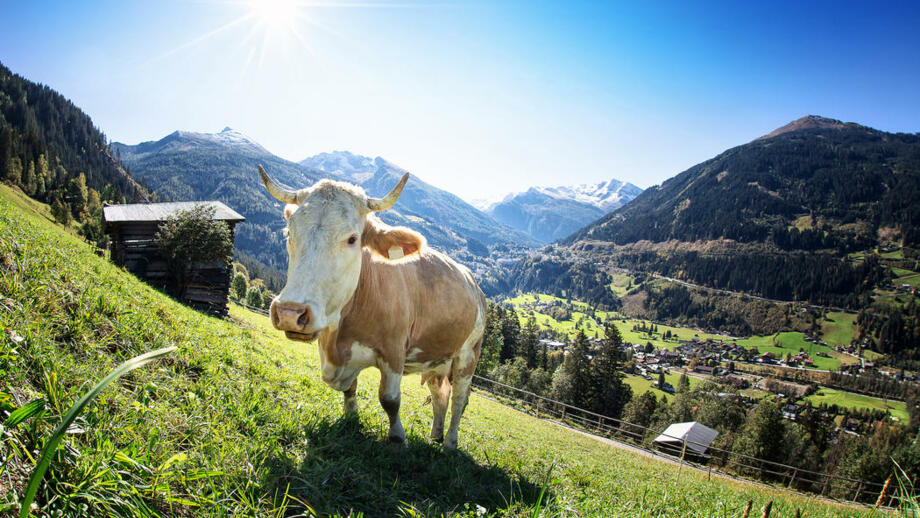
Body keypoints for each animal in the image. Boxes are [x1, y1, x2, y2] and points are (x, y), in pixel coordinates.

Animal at [258, 167, 486, 450]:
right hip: (437, 359)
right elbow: (350, 389)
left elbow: (389, 399)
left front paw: (398, 438)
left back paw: (450, 443)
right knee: (439, 395)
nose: (290, 313)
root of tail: (474, 283)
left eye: (352, 239)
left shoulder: (394, 351)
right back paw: (435, 435)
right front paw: (350, 418)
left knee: (458, 400)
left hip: (468, 354)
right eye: (289, 234)